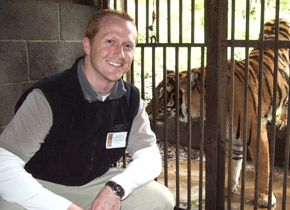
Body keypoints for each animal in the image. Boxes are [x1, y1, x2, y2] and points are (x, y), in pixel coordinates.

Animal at [146, 18, 290, 207]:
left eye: (162, 97)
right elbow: (233, 164)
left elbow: (263, 167)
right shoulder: (232, 137)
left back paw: (283, 121)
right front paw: (227, 188)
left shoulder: (256, 133)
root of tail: (279, 18)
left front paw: (265, 197)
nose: (146, 110)